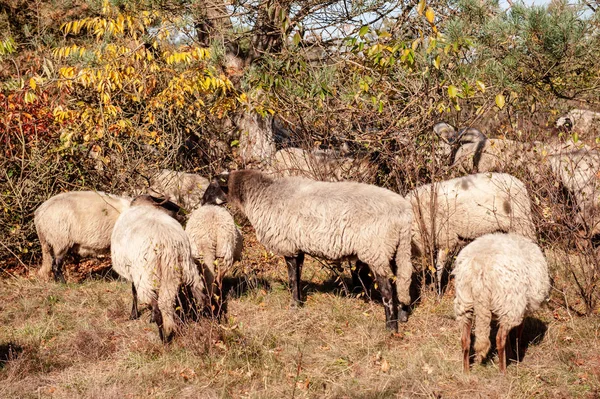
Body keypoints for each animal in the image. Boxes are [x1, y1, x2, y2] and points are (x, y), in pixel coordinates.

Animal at [110, 196, 206, 344]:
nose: (182, 215)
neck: (146, 205)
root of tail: (167, 243)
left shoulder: (134, 272)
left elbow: (133, 291)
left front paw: (134, 315)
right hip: (187, 266)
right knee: (199, 296)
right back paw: (200, 323)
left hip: (147, 275)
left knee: (158, 311)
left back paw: (163, 340)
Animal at [204, 171, 414, 332]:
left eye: (213, 184)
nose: (202, 201)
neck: (262, 194)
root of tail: (403, 215)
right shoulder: (298, 247)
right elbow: (298, 276)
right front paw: (298, 303)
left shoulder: (287, 245)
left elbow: (292, 279)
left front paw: (293, 306)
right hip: (399, 249)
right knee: (404, 281)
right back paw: (403, 315)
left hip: (376, 249)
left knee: (387, 290)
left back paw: (390, 327)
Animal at [452, 233, 552, 374]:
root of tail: (480, 267)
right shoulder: (522, 308)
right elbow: (519, 330)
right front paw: (516, 353)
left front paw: (510, 353)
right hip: (509, 303)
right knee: (500, 338)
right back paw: (502, 370)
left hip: (465, 301)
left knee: (465, 339)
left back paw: (466, 371)